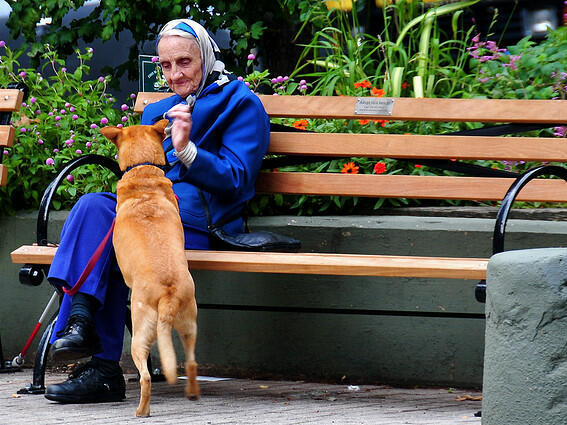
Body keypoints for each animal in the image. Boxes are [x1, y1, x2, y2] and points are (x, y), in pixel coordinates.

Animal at [100, 120, 200, 418]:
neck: (142, 172)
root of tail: (167, 295)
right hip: (189, 324)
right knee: (192, 362)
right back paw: (192, 393)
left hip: (139, 334)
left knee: (145, 377)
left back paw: (141, 411)